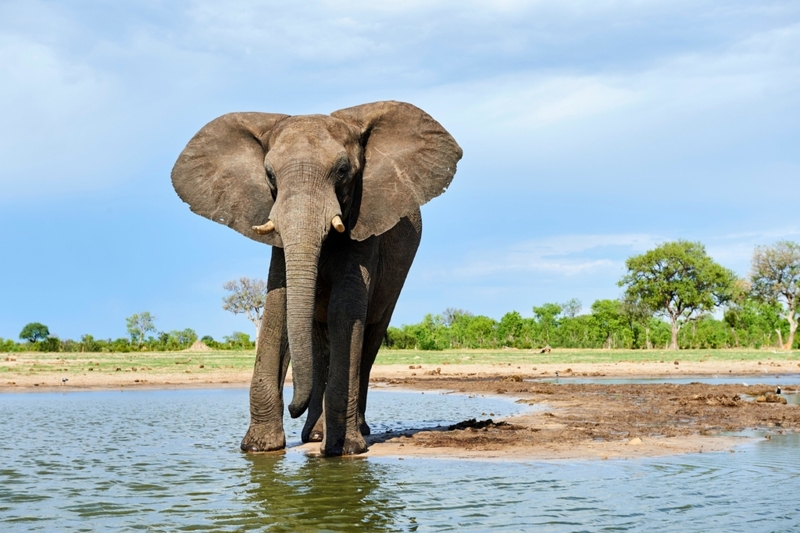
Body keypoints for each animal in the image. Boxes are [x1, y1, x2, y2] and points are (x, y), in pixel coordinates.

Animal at [173, 100, 462, 454]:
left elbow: (345, 309)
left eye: (342, 172)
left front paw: (345, 450)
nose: (292, 408)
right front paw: (259, 447)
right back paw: (313, 435)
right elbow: (279, 305)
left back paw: (355, 432)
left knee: (369, 339)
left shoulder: (365, 221)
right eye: (269, 175)